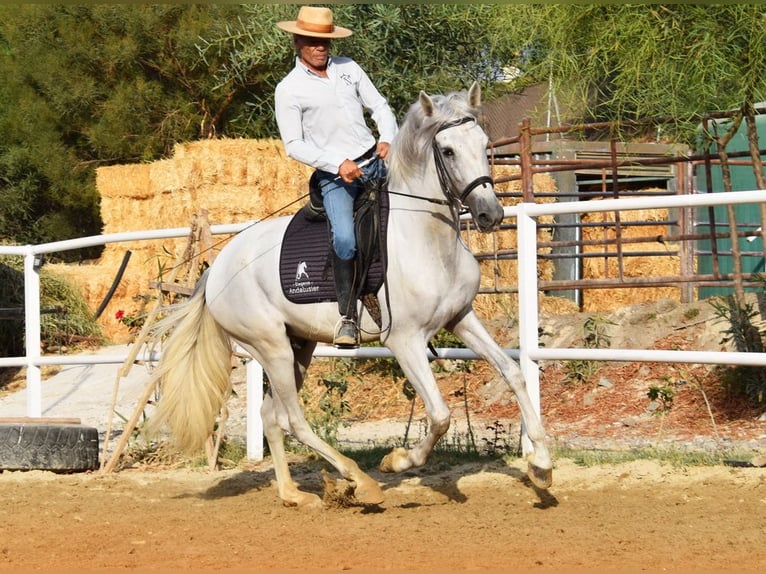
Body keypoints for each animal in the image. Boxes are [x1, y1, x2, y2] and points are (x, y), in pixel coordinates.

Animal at [146, 82, 552, 507]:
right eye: (447, 151)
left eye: (485, 143)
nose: (490, 214)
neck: (423, 239)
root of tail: (218, 268)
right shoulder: (404, 341)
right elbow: (440, 415)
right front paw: (397, 461)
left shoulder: (461, 318)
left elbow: (514, 374)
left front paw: (541, 467)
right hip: (270, 347)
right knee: (293, 420)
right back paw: (361, 481)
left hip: (299, 347)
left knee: (271, 416)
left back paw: (294, 494)